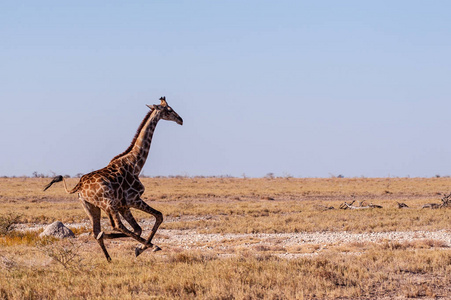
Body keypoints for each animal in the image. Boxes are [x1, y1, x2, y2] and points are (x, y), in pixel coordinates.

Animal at [42, 96, 184, 260]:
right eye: (169, 109)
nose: (180, 119)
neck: (134, 164)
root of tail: (79, 186)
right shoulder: (133, 199)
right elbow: (157, 217)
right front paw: (145, 248)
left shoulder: (123, 205)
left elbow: (138, 229)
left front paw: (139, 248)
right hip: (107, 203)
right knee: (116, 225)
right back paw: (151, 246)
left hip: (91, 207)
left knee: (97, 232)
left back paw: (109, 258)